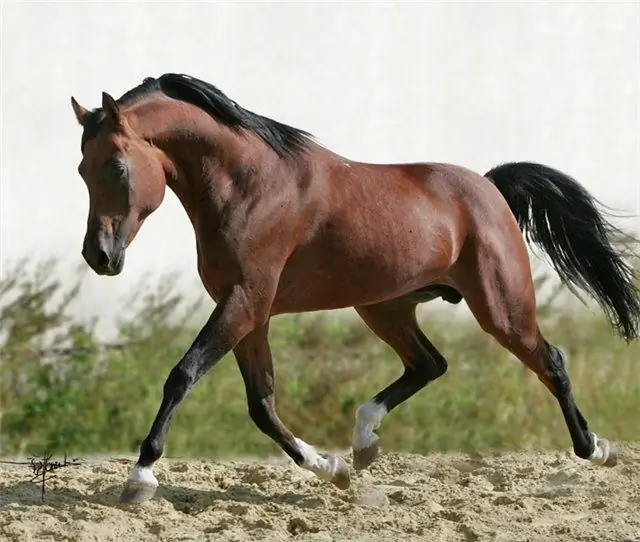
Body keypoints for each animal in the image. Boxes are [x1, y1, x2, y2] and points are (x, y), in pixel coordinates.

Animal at [70, 73, 640, 506]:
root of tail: (489, 187)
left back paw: (597, 449)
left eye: (116, 165)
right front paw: (332, 468)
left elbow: (183, 375)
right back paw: (364, 443)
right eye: (80, 168)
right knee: (430, 364)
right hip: (384, 308)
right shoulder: (250, 311)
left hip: (501, 308)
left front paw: (141, 476)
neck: (249, 185)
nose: (99, 256)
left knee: (551, 361)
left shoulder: (245, 302)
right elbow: (262, 404)